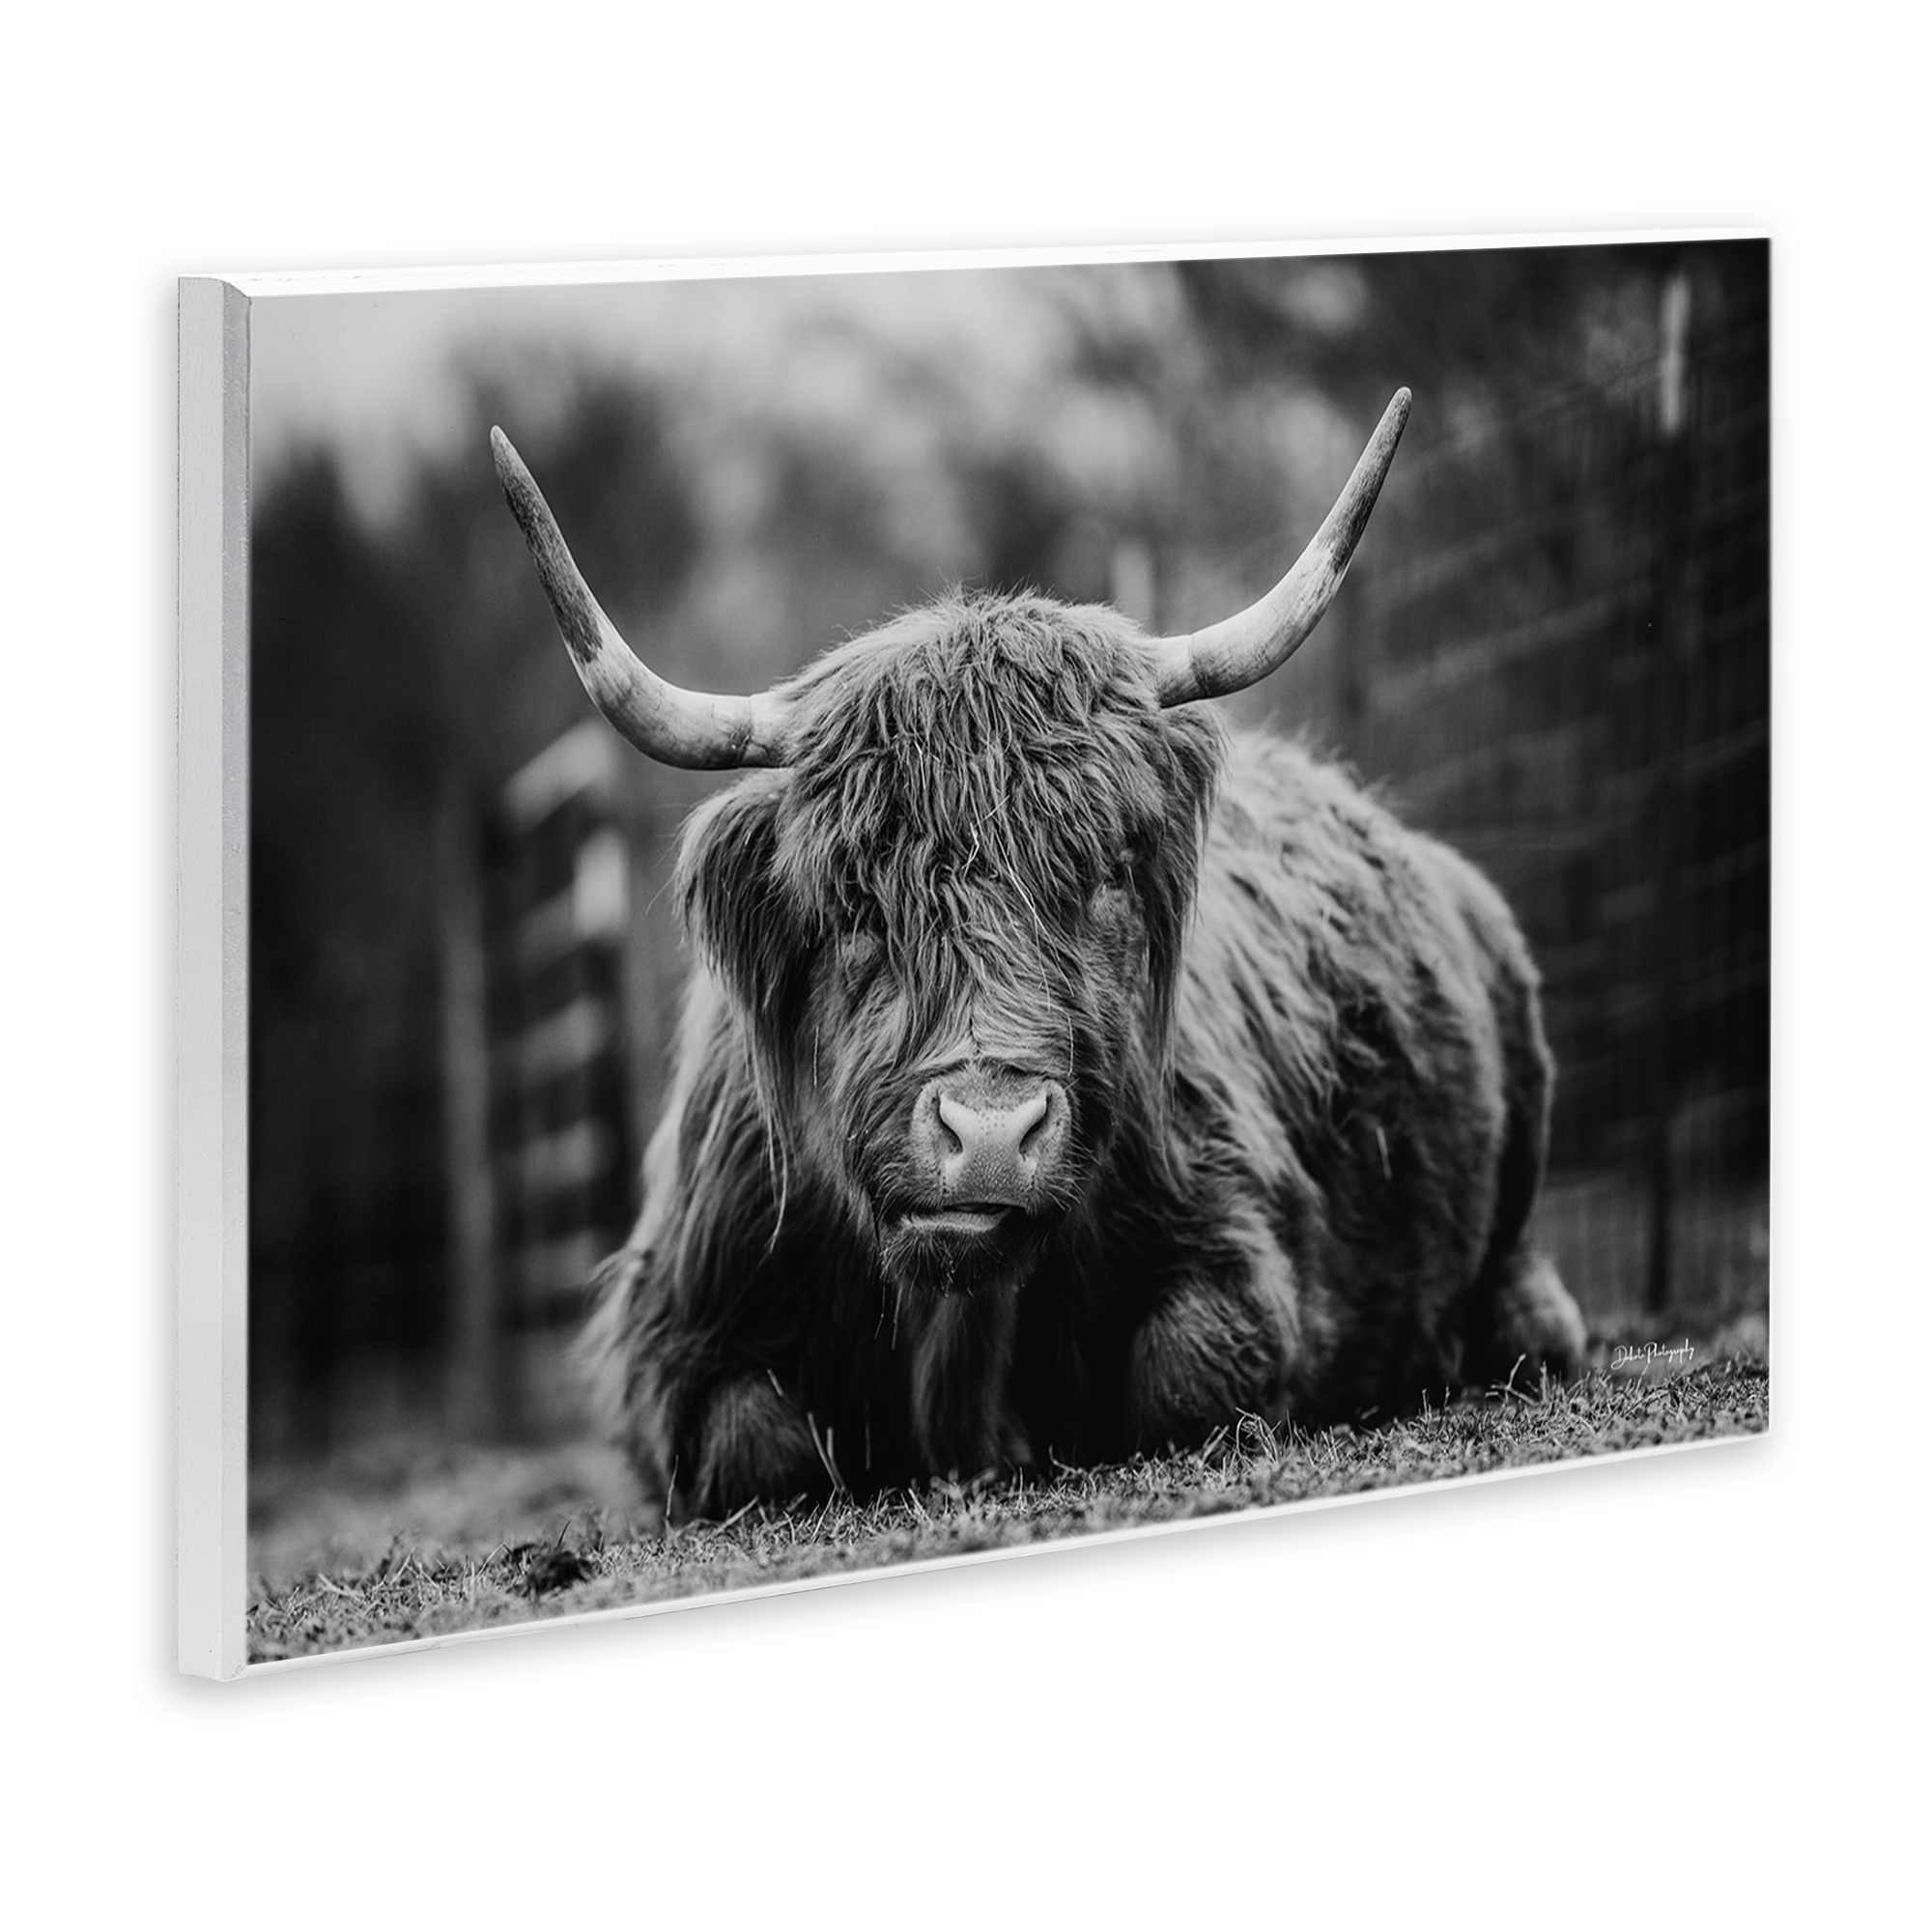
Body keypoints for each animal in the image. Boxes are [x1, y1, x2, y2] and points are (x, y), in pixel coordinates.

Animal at [491, 389, 1587, 1525]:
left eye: (1103, 870)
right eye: (853, 902)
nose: (987, 1134)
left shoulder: (1236, 1247)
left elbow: (1190, 1373)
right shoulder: (676, 1329)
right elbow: (756, 1444)